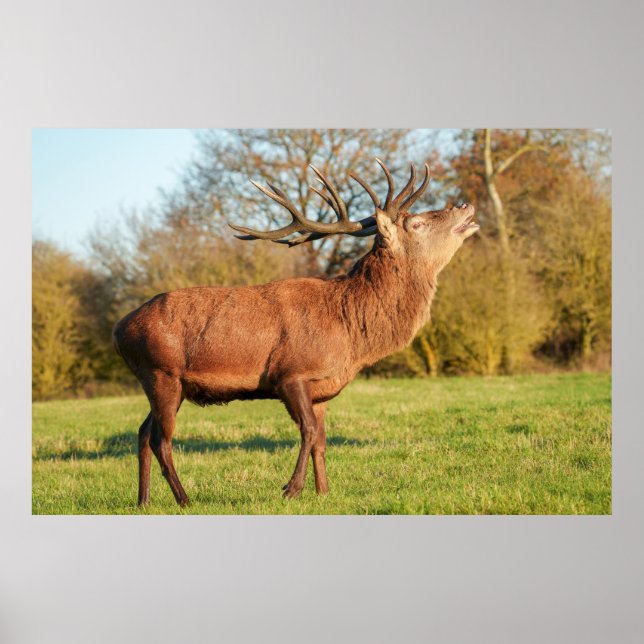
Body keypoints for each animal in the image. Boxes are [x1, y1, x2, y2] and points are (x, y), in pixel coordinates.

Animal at [112, 159, 479, 507]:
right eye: (417, 223)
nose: (465, 205)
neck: (351, 333)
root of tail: (119, 329)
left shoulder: (321, 389)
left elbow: (321, 440)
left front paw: (324, 491)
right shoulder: (290, 374)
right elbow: (308, 431)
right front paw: (291, 489)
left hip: (162, 382)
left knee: (142, 432)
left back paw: (144, 500)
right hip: (162, 373)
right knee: (161, 440)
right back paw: (184, 498)